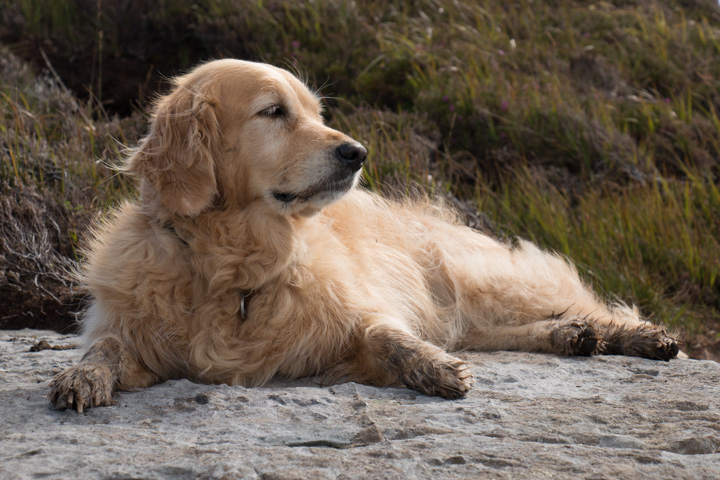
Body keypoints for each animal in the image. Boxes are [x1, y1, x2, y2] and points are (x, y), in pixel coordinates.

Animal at [47, 59, 676, 412]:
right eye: (273, 112)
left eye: (316, 112)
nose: (358, 152)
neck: (234, 264)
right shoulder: (138, 336)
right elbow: (106, 347)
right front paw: (80, 377)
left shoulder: (356, 315)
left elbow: (387, 335)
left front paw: (433, 368)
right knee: (493, 331)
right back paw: (570, 336)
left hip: (479, 280)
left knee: (580, 302)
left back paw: (637, 336)